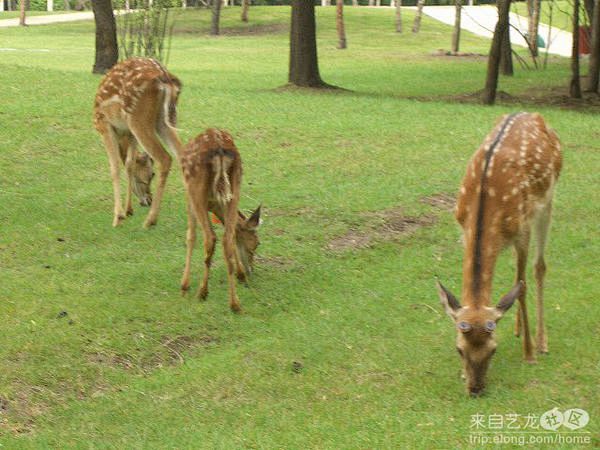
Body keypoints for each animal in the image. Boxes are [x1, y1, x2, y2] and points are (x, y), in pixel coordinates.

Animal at [93, 57, 183, 227]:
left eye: (152, 174)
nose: (148, 200)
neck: (122, 135)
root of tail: (165, 77)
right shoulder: (130, 133)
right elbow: (129, 163)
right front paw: (129, 210)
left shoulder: (104, 125)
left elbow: (115, 167)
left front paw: (118, 216)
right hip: (165, 119)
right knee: (183, 154)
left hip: (138, 118)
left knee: (165, 158)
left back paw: (151, 220)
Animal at [179, 128, 262, 312]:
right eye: (257, 243)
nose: (251, 270)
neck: (214, 208)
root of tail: (220, 151)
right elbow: (233, 235)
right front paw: (240, 274)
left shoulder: (189, 197)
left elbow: (190, 236)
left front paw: (184, 285)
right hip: (235, 187)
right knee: (227, 239)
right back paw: (235, 303)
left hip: (196, 190)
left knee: (210, 238)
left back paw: (202, 292)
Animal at [436, 112, 564, 398]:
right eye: (459, 349)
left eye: (493, 350)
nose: (475, 389)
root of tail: (529, 113)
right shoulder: (463, 228)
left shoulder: (522, 229)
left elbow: (522, 286)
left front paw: (529, 354)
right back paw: (517, 328)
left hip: (547, 201)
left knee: (539, 268)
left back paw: (542, 341)